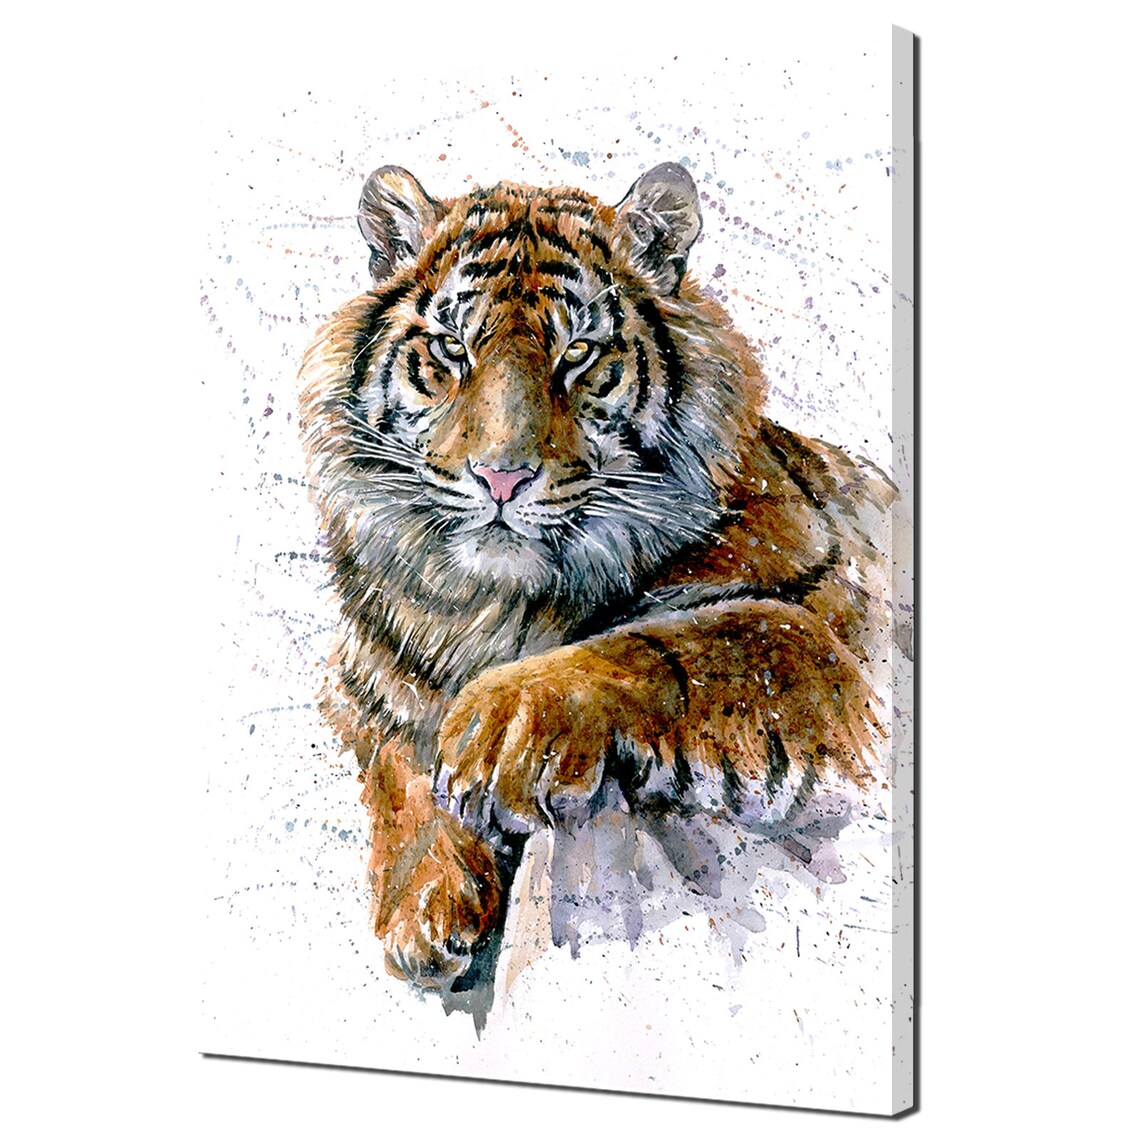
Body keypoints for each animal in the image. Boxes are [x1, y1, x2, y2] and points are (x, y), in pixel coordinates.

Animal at [298, 161, 895, 992]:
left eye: (578, 354)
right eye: (451, 349)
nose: (501, 478)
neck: (493, 607)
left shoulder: (832, 644)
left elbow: (679, 641)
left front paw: (499, 730)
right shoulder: (364, 683)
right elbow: (395, 762)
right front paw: (423, 909)